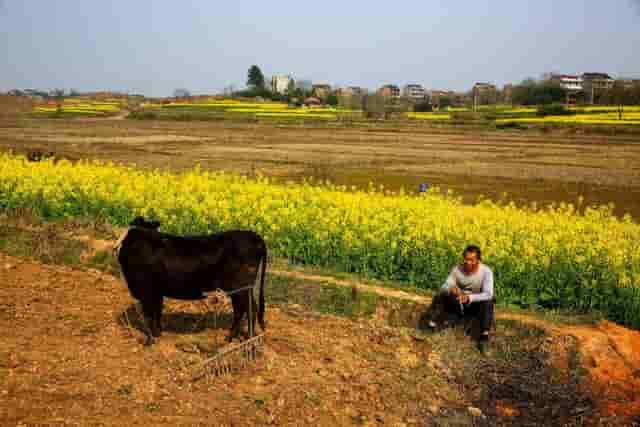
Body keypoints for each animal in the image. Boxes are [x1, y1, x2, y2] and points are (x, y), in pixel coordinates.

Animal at [115, 219, 268, 346]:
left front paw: (149, 341)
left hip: (241, 288)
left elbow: (149, 315)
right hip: (237, 290)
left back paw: (249, 340)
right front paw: (157, 334)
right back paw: (230, 338)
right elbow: (157, 312)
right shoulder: (157, 291)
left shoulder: (146, 290)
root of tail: (253, 236)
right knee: (240, 310)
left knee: (250, 309)